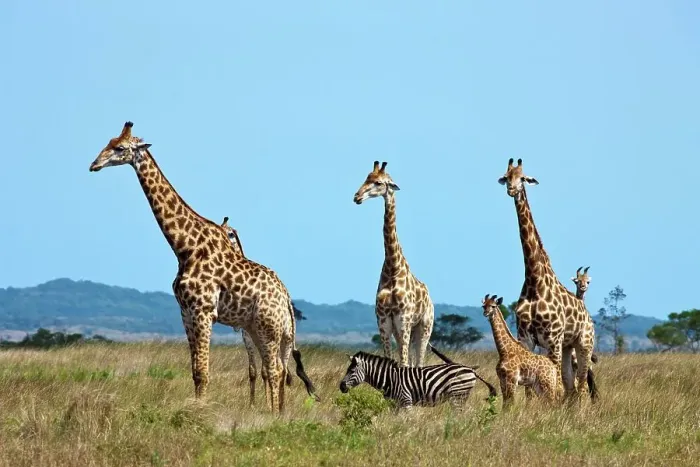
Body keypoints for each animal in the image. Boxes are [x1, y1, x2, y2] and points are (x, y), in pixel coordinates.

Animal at [219, 216, 294, 407]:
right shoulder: (246, 335)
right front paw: (252, 404)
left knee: (281, 369)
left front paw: (267, 404)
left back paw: (281, 405)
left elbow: (265, 371)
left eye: (231, 233)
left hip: (284, 338)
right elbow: (253, 371)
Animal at [353, 161, 435, 367]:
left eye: (379, 183)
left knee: (419, 362)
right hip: (405, 331)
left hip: (424, 328)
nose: (357, 197)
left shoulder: (403, 320)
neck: (392, 269)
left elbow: (404, 363)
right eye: (366, 178)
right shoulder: (384, 322)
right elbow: (390, 360)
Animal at [498, 158, 597, 400]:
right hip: (568, 347)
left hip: (583, 345)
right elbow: (529, 391)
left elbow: (554, 385)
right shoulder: (526, 338)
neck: (535, 281)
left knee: (580, 386)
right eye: (506, 176)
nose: (511, 189)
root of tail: (589, 317)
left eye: (523, 178)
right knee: (571, 388)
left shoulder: (553, 338)